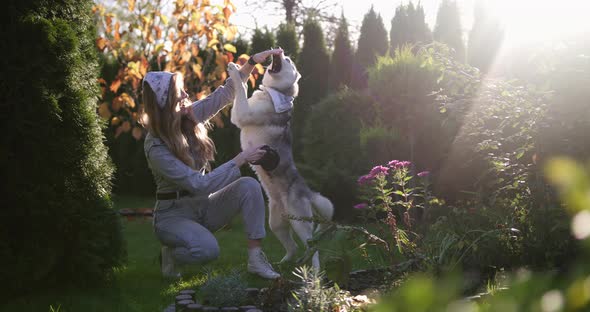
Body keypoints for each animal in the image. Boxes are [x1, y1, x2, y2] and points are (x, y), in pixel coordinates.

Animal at [229, 52, 336, 270]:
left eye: (288, 61)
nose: (281, 52)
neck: (274, 93)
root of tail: (308, 192)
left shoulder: (242, 114)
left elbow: (240, 90)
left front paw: (235, 71)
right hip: (275, 223)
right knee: (292, 246)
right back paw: (283, 262)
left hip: (300, 223)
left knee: (312, 247)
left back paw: (315, 272)